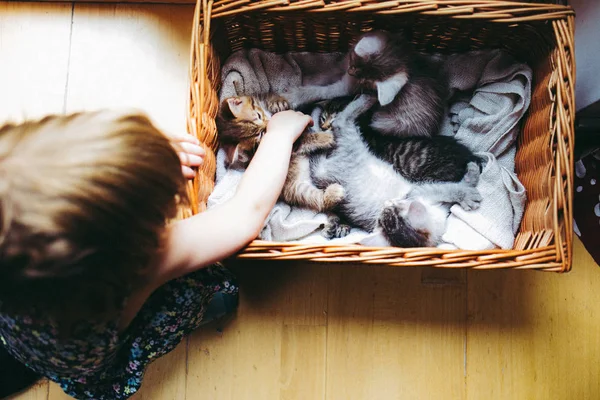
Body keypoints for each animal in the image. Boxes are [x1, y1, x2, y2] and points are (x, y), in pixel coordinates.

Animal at [284, 29, 448, 138]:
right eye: (352, 63)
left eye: (364, 80)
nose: (350, 72)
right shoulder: (342, 69)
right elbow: (325, 75)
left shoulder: (363, 91)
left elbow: (325, 91)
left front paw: (295, 95)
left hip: (389, 122)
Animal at [308, 96, 480, 247]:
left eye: (393, 206)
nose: (388, 202)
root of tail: (323, 173)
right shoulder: (417, 191)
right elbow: (449, 188)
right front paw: (467, 192)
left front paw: (469, 181)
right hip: (351, 143)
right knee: (341, 121)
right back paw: (367, 98)